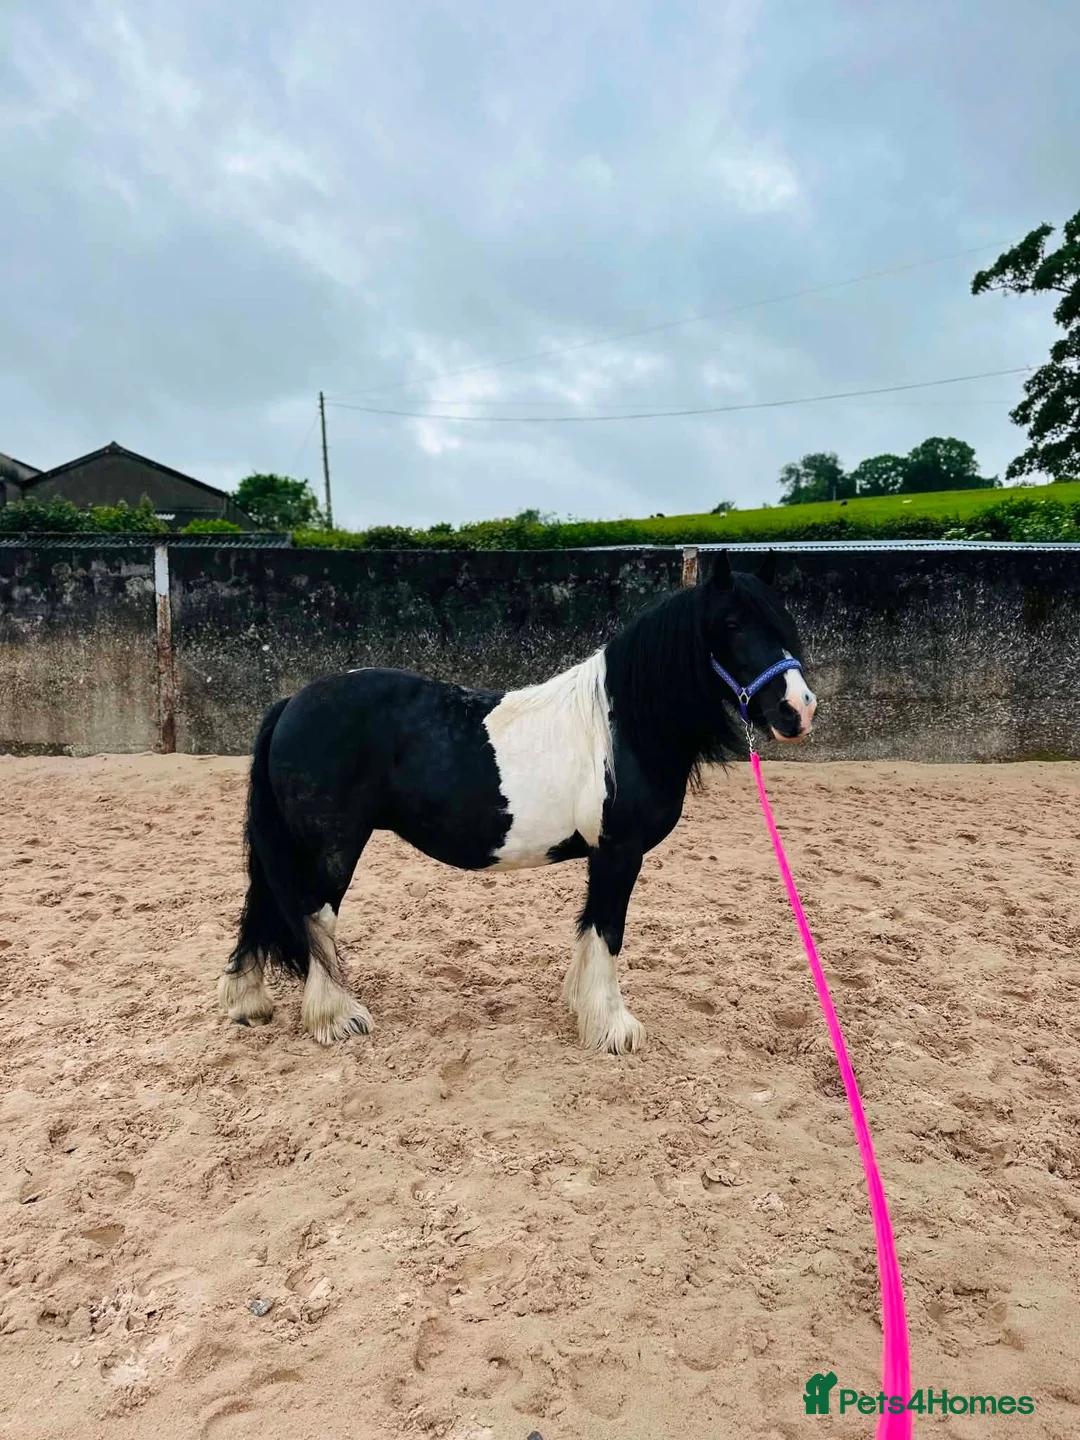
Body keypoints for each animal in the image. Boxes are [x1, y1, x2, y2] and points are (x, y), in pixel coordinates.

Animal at [218, 549, 816, 1054]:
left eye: (783, 623)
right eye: (733, 624)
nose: (798, 709)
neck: (623, 725)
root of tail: (292, 701)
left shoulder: (604, 854)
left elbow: (589, 927)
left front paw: (583, 1008)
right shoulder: (620, 851)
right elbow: (609, 930)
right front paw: (614, 1028)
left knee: (263, 905)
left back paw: (248, 1003)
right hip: (331, 847)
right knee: (315, 916)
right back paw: (336, 1017)